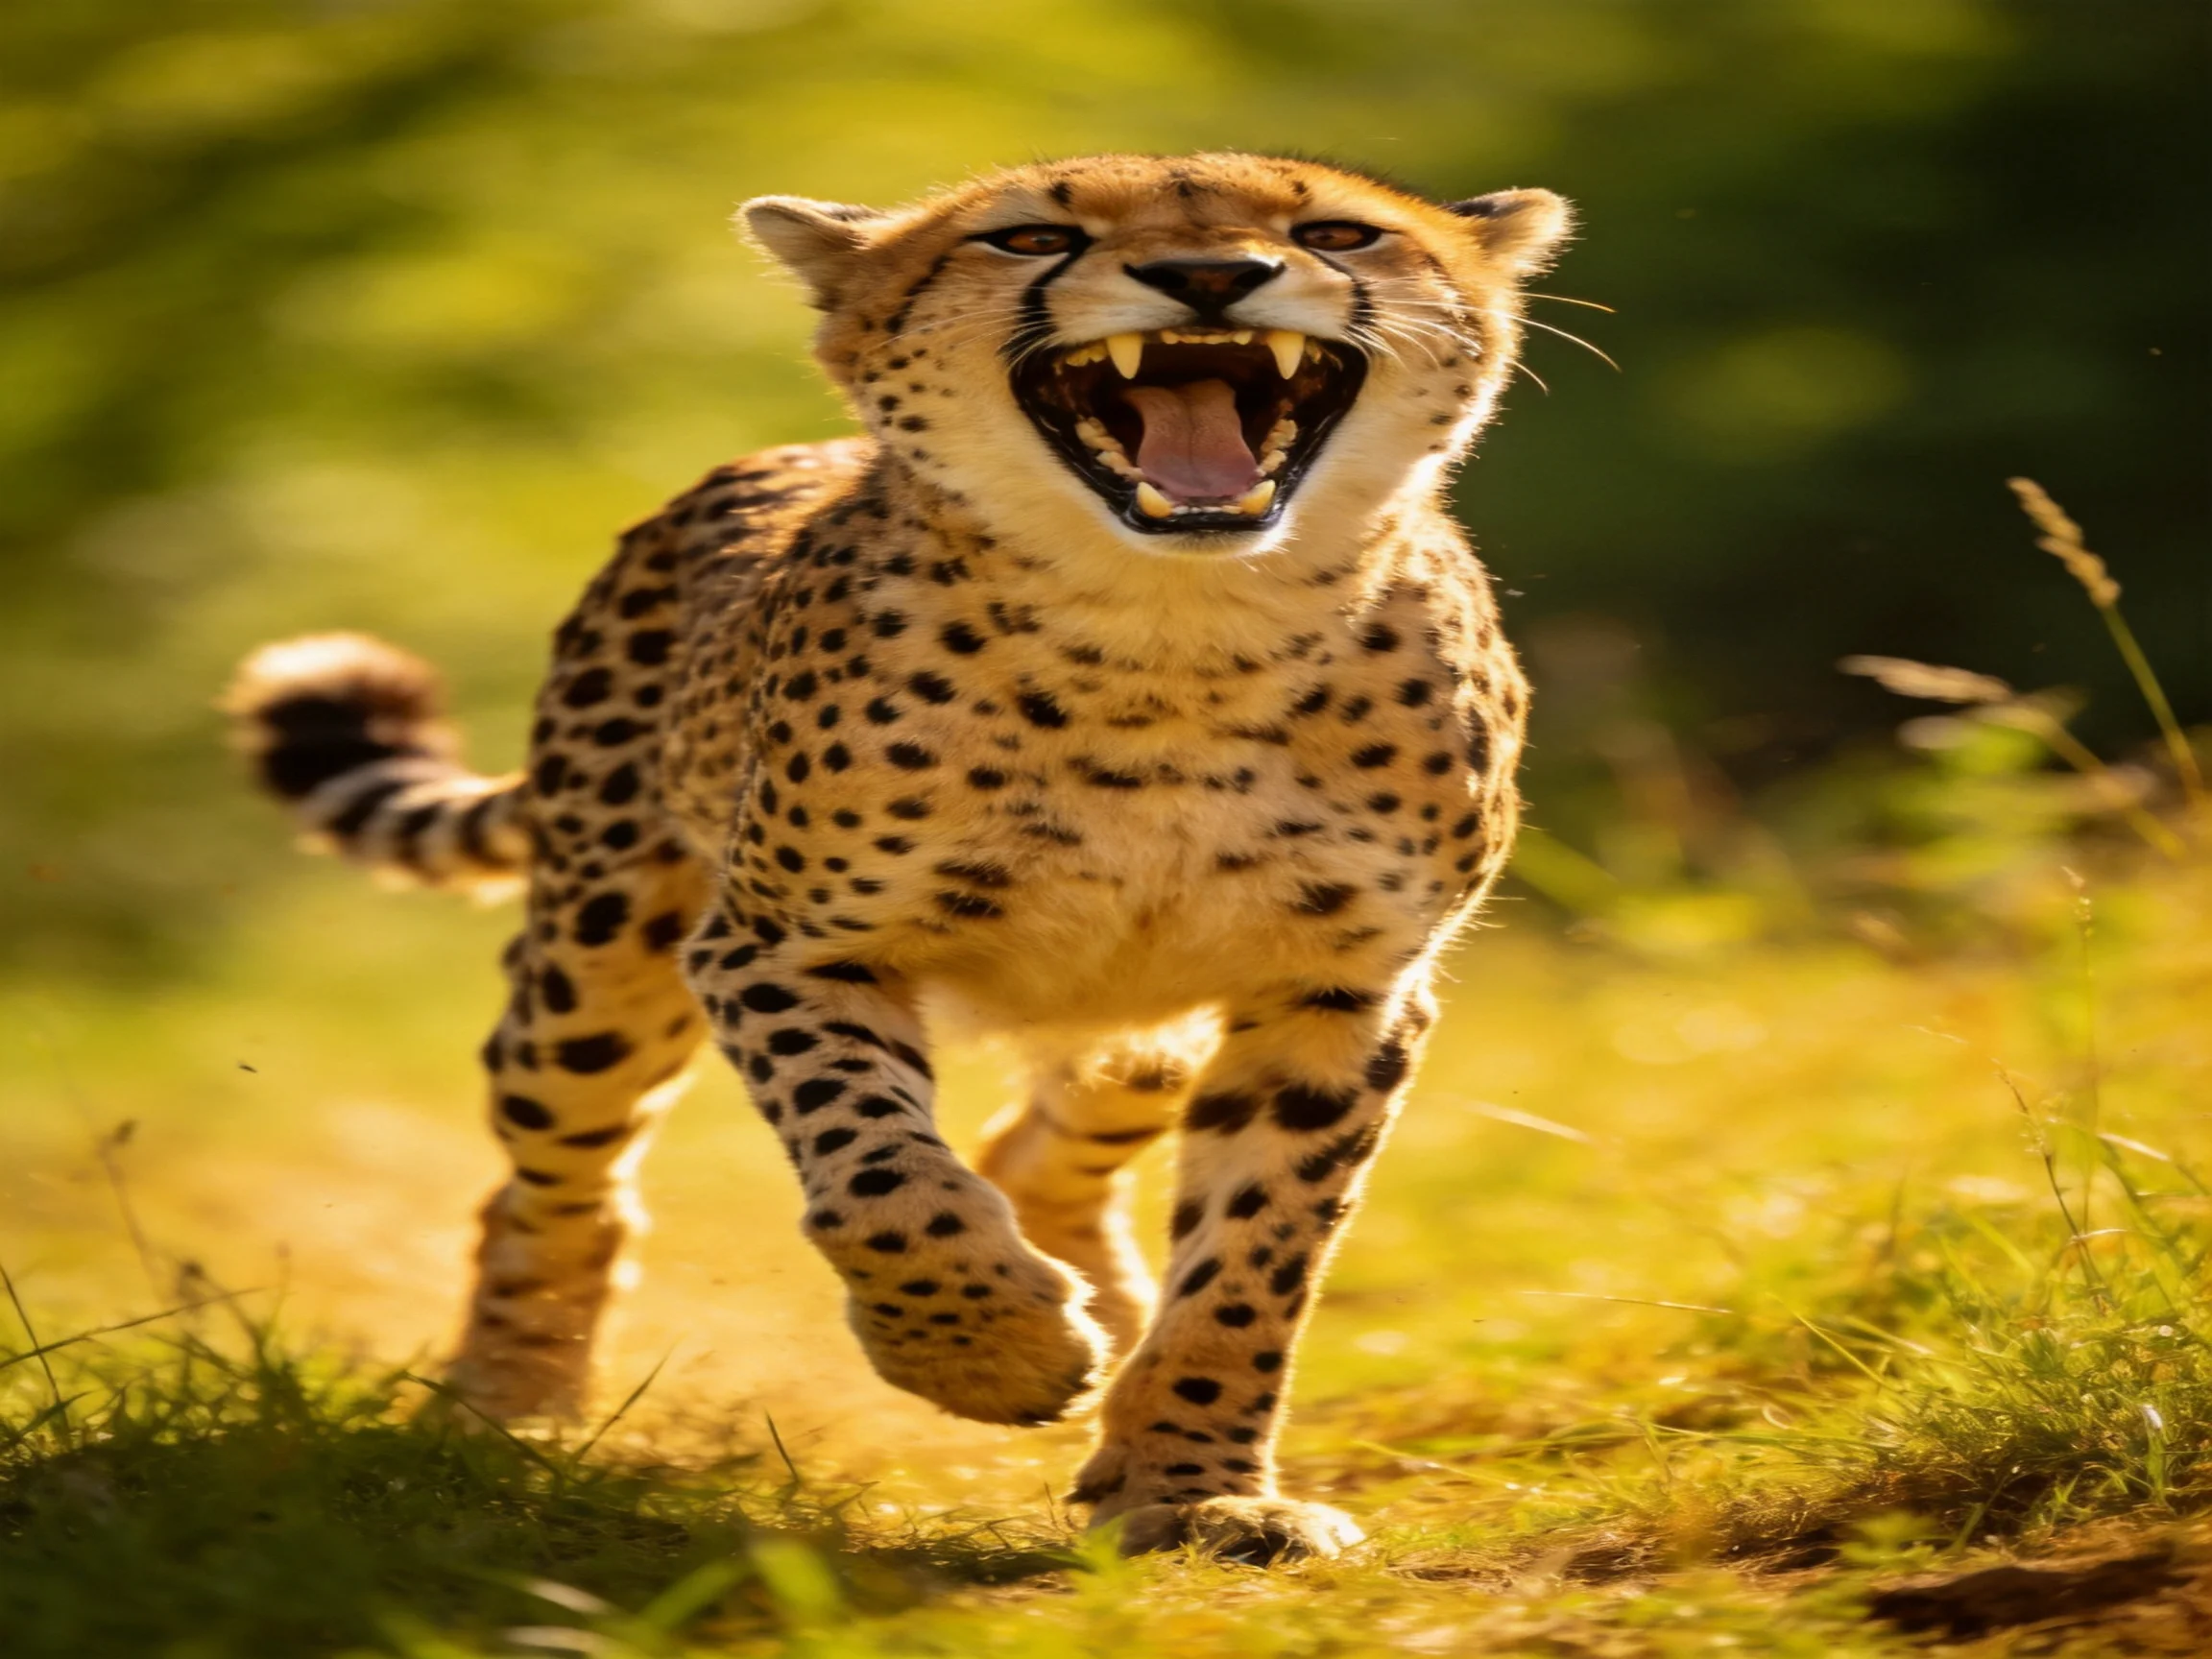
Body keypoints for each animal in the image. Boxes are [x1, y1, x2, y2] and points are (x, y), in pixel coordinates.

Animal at [222, 151, 1571, 1564]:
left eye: (1337, 234)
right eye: (1030, 237)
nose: (1211, 276)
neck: (1170, 636)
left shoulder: (1338, 989)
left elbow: (1257, 1259)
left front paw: (1196, 1488)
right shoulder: (783, 947)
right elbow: (878, 1173)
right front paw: (986, 1354)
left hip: (1141, 1017)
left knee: (1049, 1135)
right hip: (596, 968)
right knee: (553, 1178)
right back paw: (506, 1410)